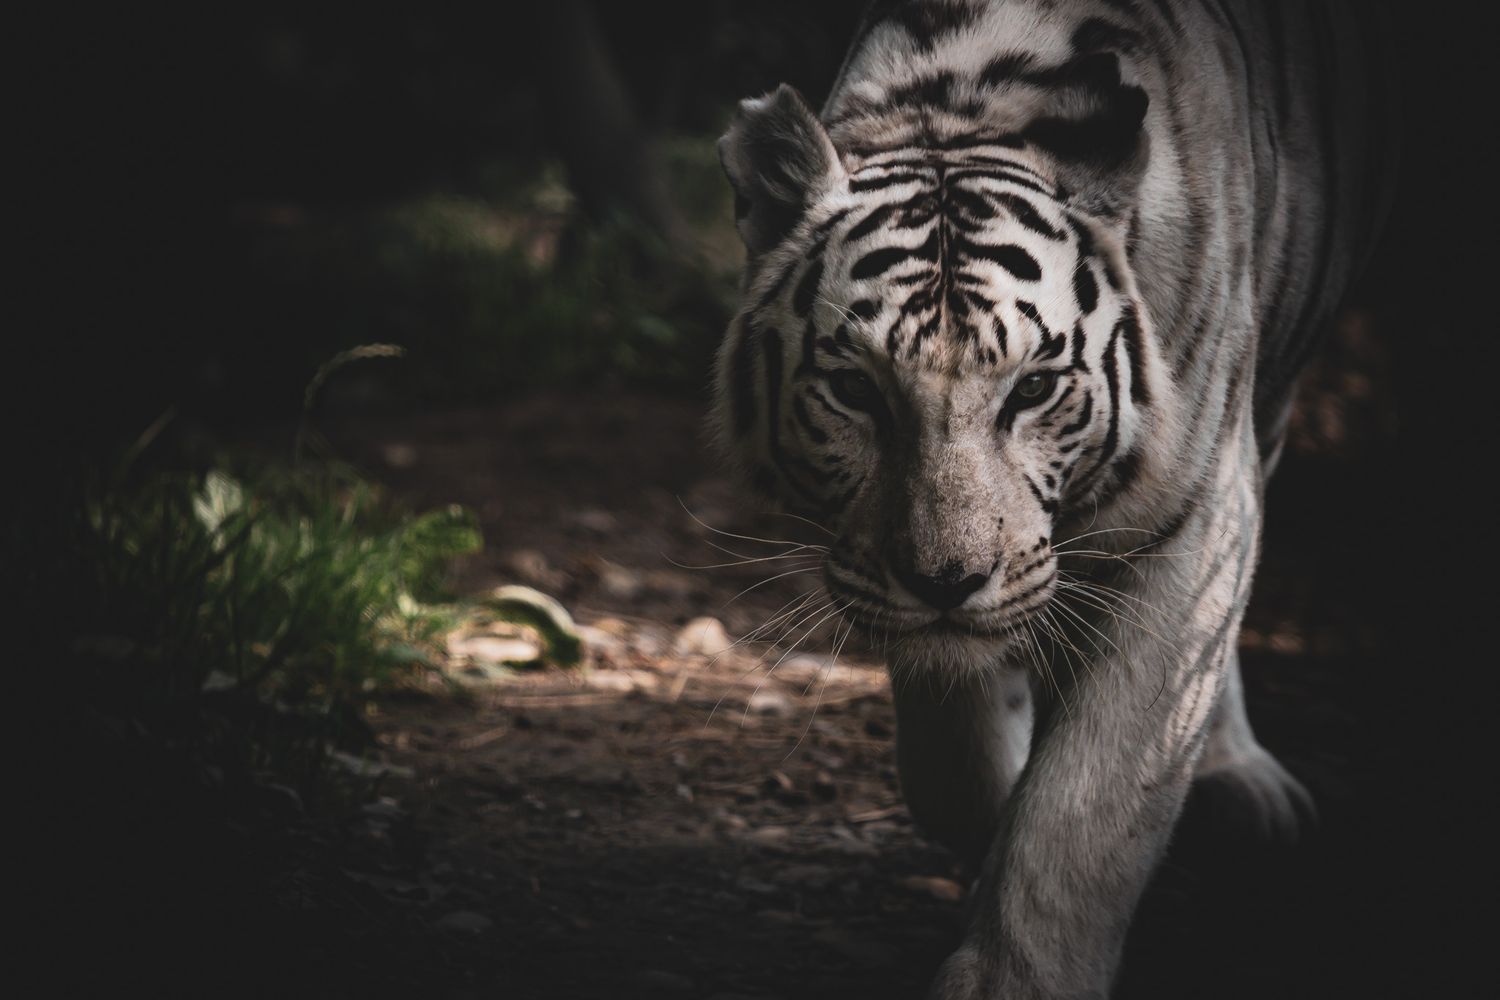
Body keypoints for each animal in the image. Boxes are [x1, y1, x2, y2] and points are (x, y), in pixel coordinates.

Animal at [710, 1, 1395, 997]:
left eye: (1032, 389)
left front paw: (1014, 974)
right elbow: (956, 761)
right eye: (857, 391)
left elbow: (1089, 804)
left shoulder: (1189, 527)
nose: (947, 580)